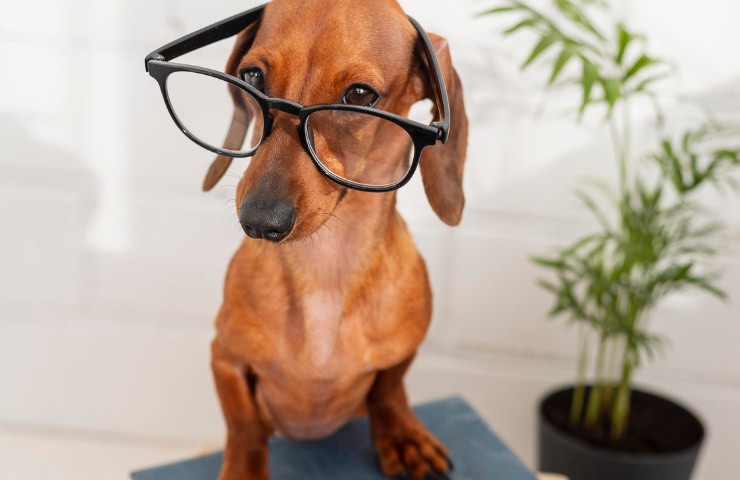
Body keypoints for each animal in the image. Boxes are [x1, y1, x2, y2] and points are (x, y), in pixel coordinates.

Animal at [205, 0, 466, 480]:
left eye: (360, 95)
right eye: (252, 76)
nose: (260, 222)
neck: (325, 266)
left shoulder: (402, 354)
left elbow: (389, 389)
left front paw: (400, 435)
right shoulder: (224, 357)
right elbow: (242, 424)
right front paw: (244, 467)